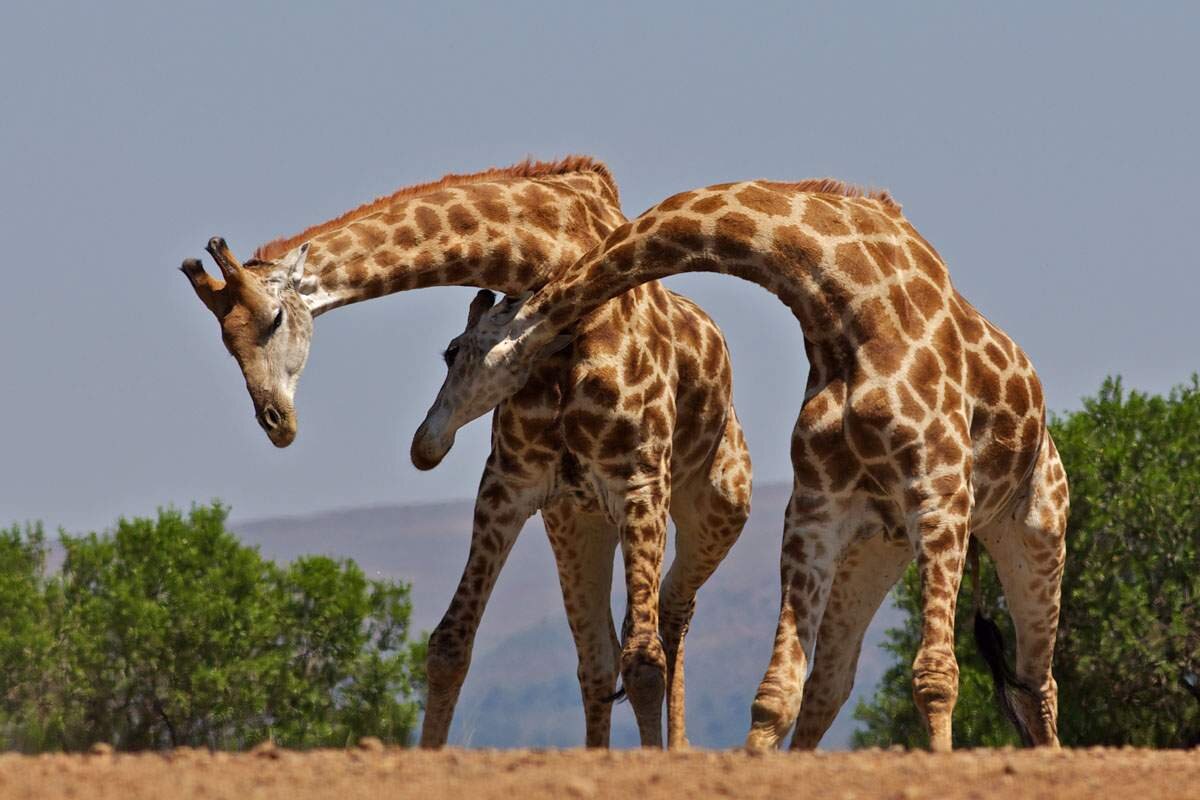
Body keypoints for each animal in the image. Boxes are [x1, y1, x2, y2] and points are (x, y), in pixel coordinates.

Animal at [177, 158, 748, 753]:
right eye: (226, 343)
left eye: (274, 320)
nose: (277, 422)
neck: (553, 260)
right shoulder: (510, 483)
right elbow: (450, 645)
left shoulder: (638, 480)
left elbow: (645, 664)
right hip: (578, 521)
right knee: (597, 656)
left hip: (714, 510)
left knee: (670, 617)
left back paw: (679, 745)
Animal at [410, 178, 1070, 753]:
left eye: (453, 351)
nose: (425, 444)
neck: (846, 306)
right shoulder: (817, 511)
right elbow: (777, 691)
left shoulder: (939, 499)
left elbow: (935, 676)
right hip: (879, 548)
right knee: (833, 683)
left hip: (1034, 535)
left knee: (1038, 684)